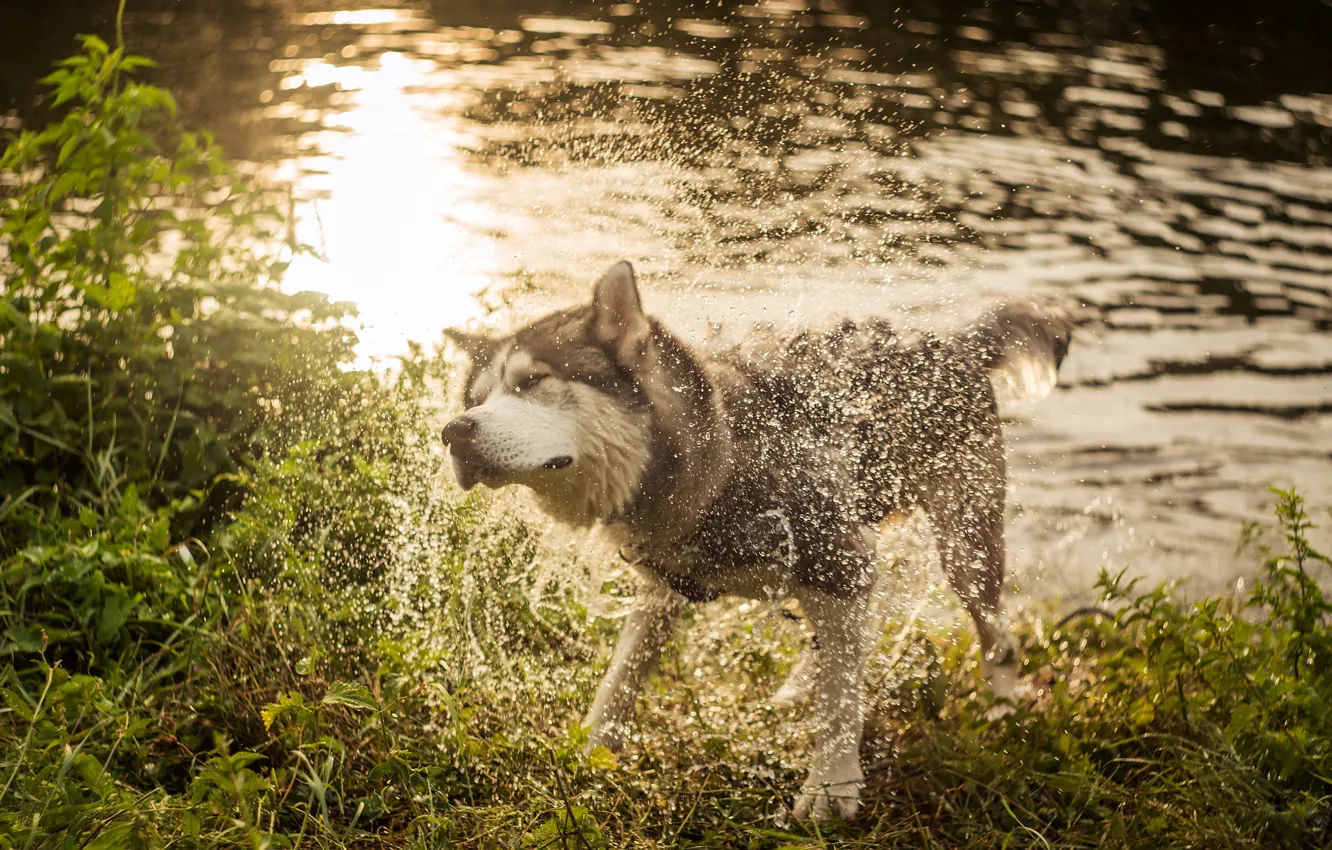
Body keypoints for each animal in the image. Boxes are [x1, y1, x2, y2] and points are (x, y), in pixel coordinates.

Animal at [442, 263, 1076, 820]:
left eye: (533, 381)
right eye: (474, 400)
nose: (453, 432)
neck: (717, 460)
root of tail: (954, 339)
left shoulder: (837, 555)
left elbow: (841, 700)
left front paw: (831, 785)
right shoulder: (663, 588)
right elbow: (621, 677)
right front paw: (593, 744)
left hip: (964, 544)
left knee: (992, 635)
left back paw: (1000, 704)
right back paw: (803, 683)